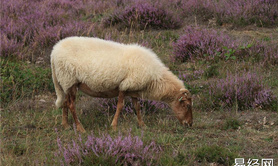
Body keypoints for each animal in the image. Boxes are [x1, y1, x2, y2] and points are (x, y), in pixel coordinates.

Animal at [50, 36, 193, 132]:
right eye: (186, 105)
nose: (190, 124)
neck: (156, 79)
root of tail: (54, 51)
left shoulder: (134, 89)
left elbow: (137, 107)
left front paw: (142, 125)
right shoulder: (124, 86)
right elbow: (120, 106)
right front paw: (114, 126)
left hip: (66, 82)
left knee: (65, 103)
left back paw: (66, 125)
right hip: (69, 80)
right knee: (71, 105)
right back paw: (80, 128)